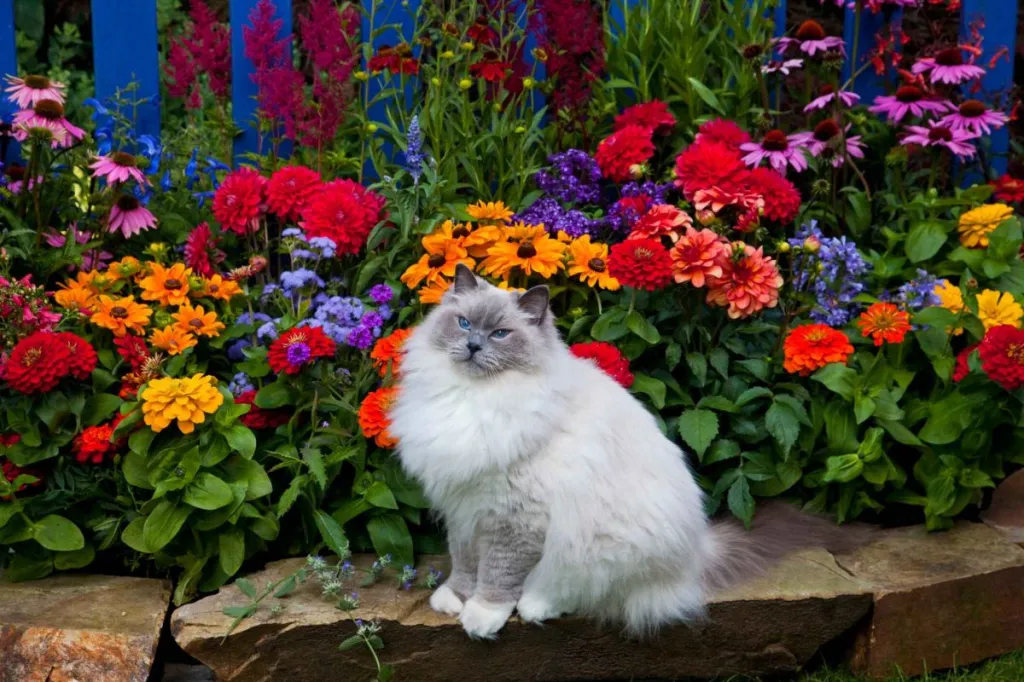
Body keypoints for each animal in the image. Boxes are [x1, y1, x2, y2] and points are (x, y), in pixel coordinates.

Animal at [387, 266, 860, 638]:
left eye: (501, 334)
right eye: (464, 324)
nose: (473, 347)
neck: (475, 397)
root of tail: (699, 545)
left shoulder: (513, 519)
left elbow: (498, 574)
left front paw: (481, 616)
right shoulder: (464, 507)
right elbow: (465, 562)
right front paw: (454, 598)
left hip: (599, 543)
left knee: (584, 591)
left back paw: (536, 604)